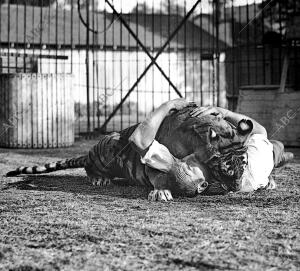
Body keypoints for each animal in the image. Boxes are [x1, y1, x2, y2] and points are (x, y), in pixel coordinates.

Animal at [5, 107, 252, 201]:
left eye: (244, 166)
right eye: (226, 169)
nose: (237, 189)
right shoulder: (154, 161)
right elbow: (160, 175)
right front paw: (161, 192)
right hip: (107, 151)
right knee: (88, 166)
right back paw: (99, 179)